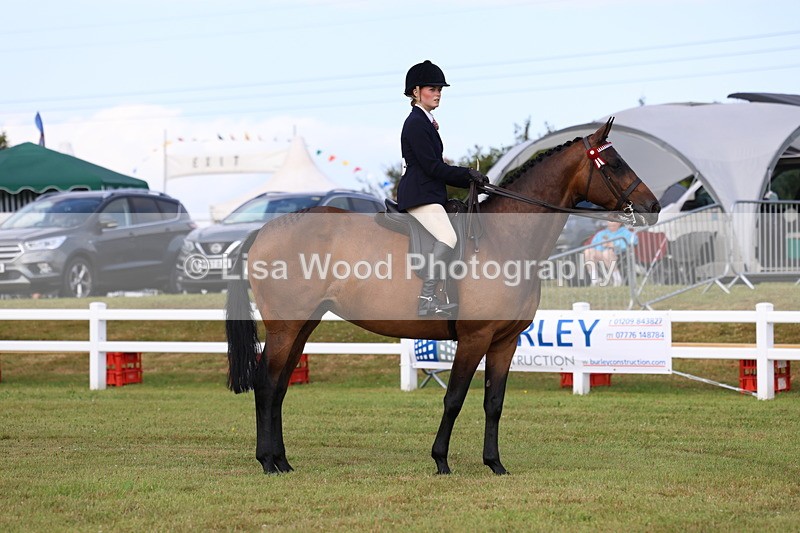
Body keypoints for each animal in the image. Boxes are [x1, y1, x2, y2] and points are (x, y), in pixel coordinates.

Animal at [225, 118, 661, 475]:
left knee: (280, 388)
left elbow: (494, 403)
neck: (507, 240)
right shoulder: (474, 338)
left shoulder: (505, 341)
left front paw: (495, 464)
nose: (652, 206)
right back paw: (268, 462)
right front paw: (441, 461)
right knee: (267, 384)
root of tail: (265, 230)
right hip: (286, 326)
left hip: (303, 325)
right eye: (615, 164)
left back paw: (282, 461)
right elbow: (454, 398)